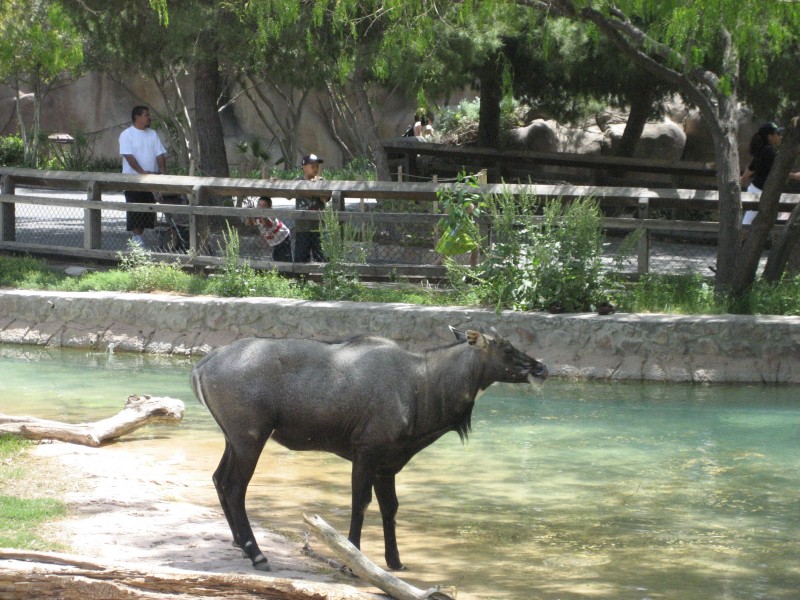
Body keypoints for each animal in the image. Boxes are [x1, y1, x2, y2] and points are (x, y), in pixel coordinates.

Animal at [191, 326, 548, 568]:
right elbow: (360, 504)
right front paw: (353, 559)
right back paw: (256, 553)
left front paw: (395, 562)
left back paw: (239, 543)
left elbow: (390, 507)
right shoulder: (366, 451)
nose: (541, 367)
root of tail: (201, 367)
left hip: (233, 438)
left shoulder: (388, 462)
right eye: (506, 347)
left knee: (218, 479)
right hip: (250, 436)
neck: (424, 389)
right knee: (235, 486)